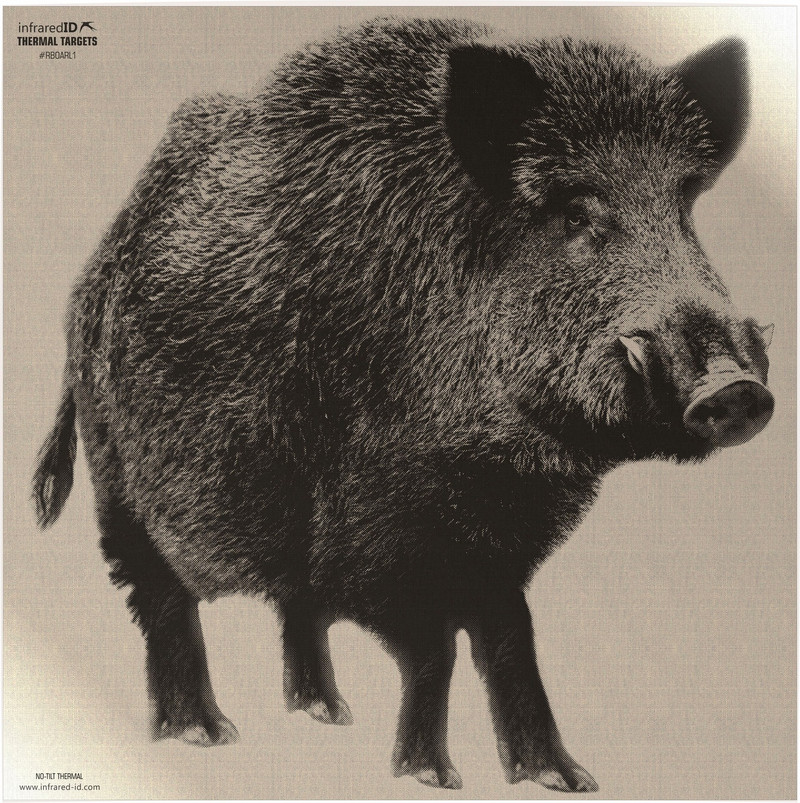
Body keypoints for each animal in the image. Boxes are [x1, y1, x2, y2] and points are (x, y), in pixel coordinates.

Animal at [32, 17, 774, 792]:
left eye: (684, 207)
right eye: (575, 212)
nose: (733, 388)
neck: (496, 461)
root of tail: (90, 278)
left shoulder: (500, 539)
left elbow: (510, 638)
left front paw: (563, 780)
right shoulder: (380, 529)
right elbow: (434, 648)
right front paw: (431, 777)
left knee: (293, 607)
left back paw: (327, 714)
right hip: (118, 474)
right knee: (159, 597)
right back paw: (204, 734)